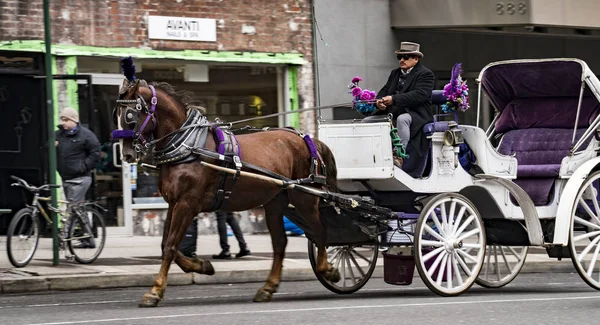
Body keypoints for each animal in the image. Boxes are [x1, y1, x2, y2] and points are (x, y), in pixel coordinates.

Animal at [110, 77, 340, 306]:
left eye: (130, 115)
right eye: (116, 115)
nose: (126, 154)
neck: (187, 146)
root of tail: (308, 139)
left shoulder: (187, 204)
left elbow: (170, 247)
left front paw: (155, 291)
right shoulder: (174, 203)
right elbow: (166, 244)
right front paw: (202, 266)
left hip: (304, 198)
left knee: (320, 231)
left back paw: (327, 270)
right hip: (275, 202)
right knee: (280, 243)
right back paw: (268, 288)